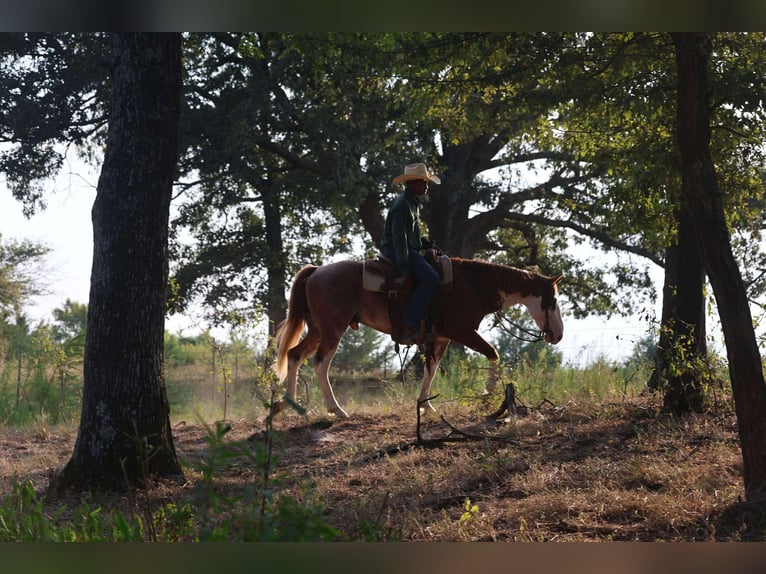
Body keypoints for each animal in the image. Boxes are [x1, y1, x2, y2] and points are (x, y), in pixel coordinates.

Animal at [272, 257, 564, 419]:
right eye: (552, 300)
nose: (558, 335)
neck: (473, 285)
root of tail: (317, 270)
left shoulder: (442, 338)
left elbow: (430, 370)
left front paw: (425, 406)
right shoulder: (462, 331)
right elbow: (493, 353)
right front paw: (487, 393)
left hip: (317, 329)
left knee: (295, 355)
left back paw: (290, 405)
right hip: (333, 329)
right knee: (321, 363)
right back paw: (336, 409)